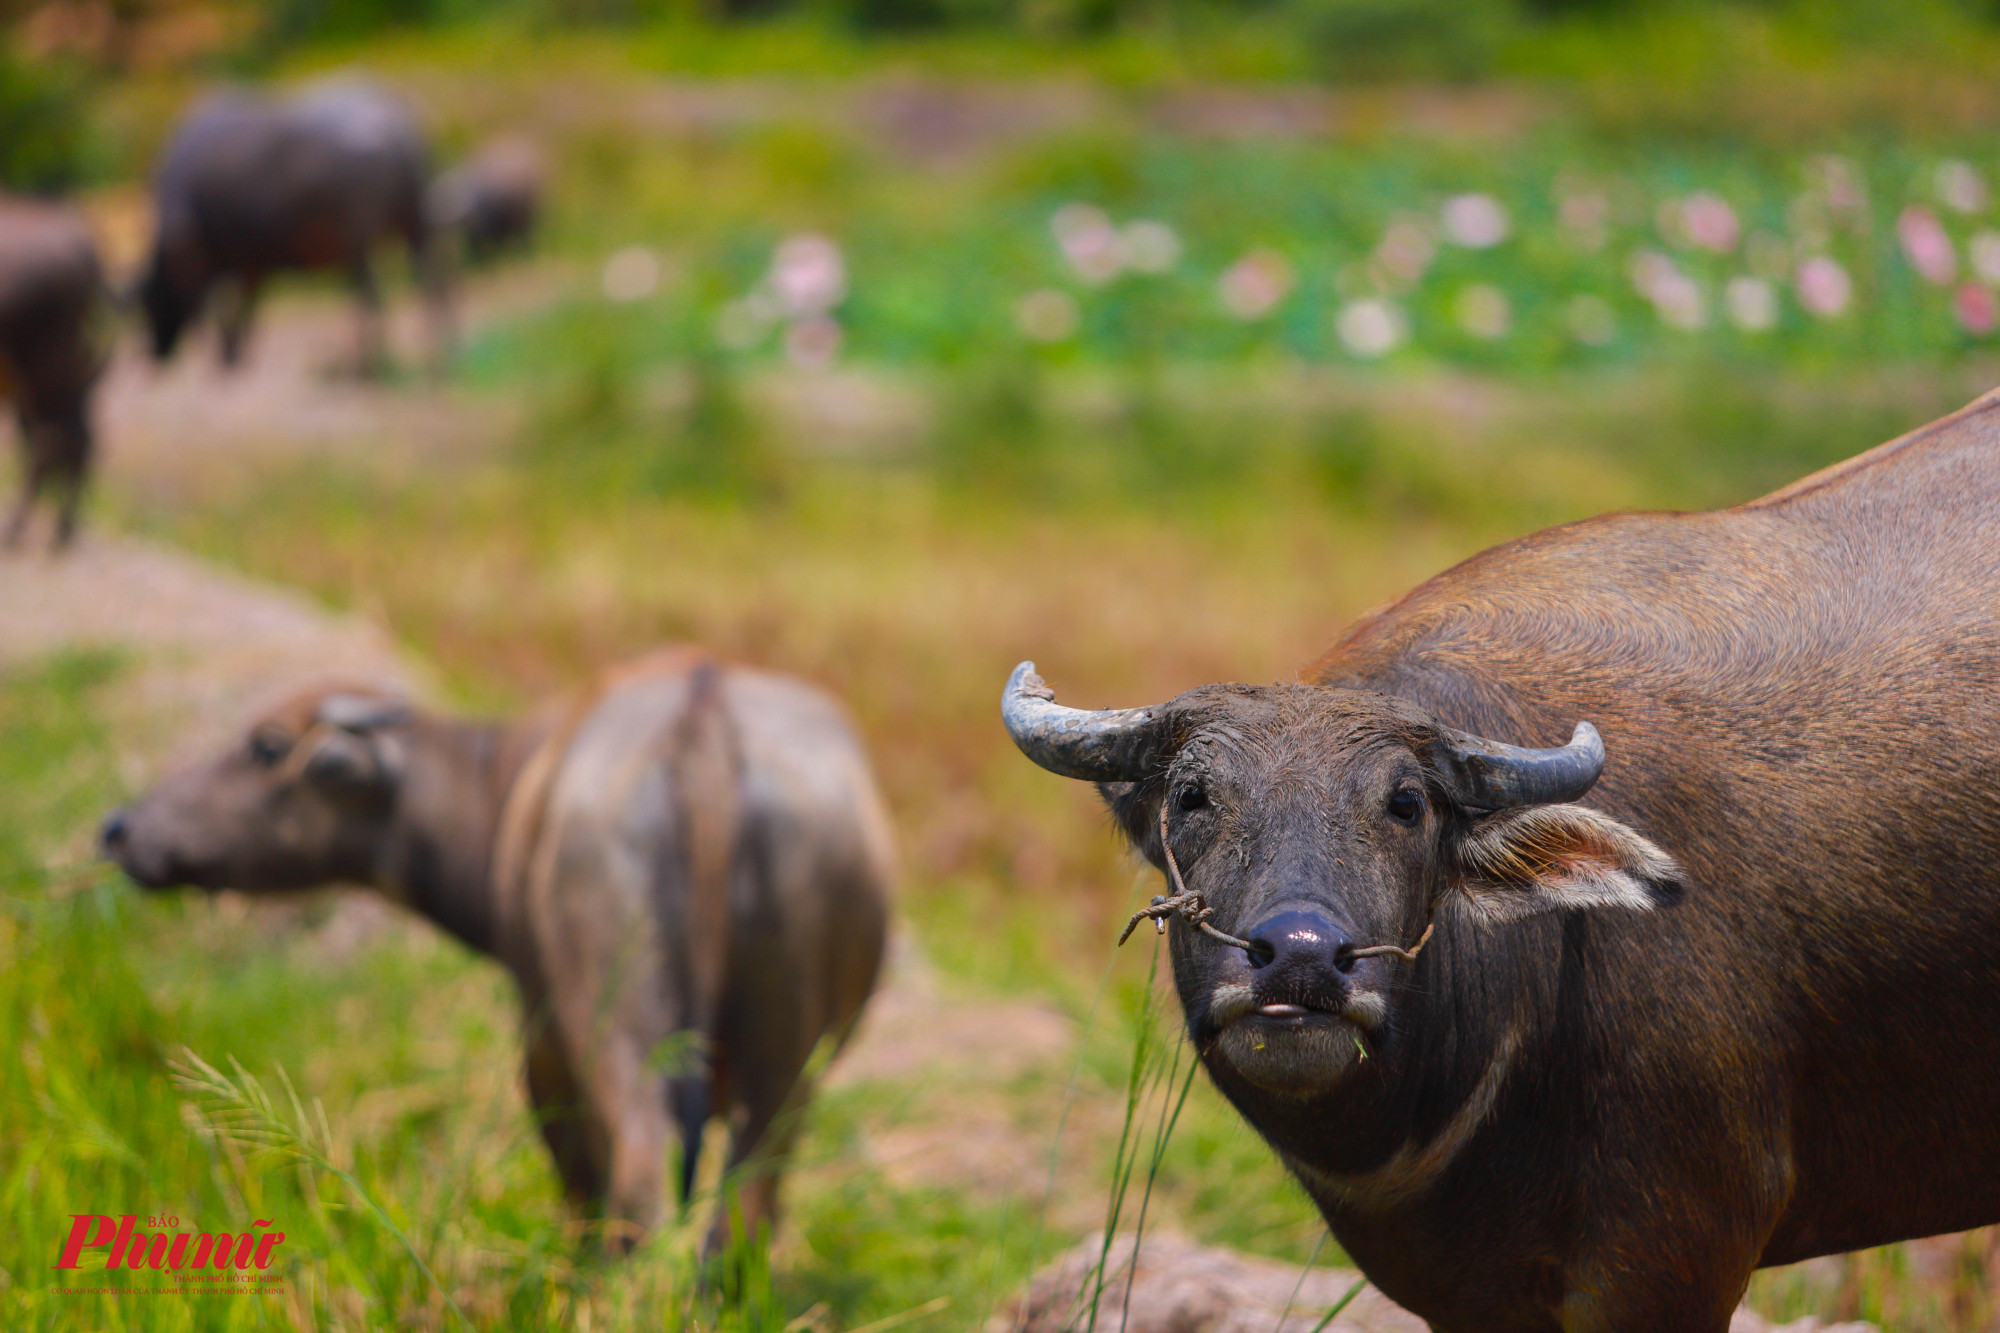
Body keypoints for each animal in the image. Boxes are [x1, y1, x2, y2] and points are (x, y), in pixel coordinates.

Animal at [99, 648, 900, 1248]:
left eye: (265, 746)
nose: (120, 827)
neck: (502, 784)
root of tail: (701, 720)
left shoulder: (541, 1042)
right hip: (785, 1054)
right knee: (746, 1200)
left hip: (612, 1023)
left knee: (640, 1175)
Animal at [141, 81, 454, 376]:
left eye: (149, 302)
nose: (155, 353)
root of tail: (388, 124)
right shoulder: (252, 264)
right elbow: (246, 306)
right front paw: (235, 355)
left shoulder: (200, 259)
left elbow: (216, 308)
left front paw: (225, 357)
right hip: (414, 226)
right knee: (433, 286)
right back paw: (436, 356)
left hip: (359, 244)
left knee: (373, 297)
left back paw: (366, 366)